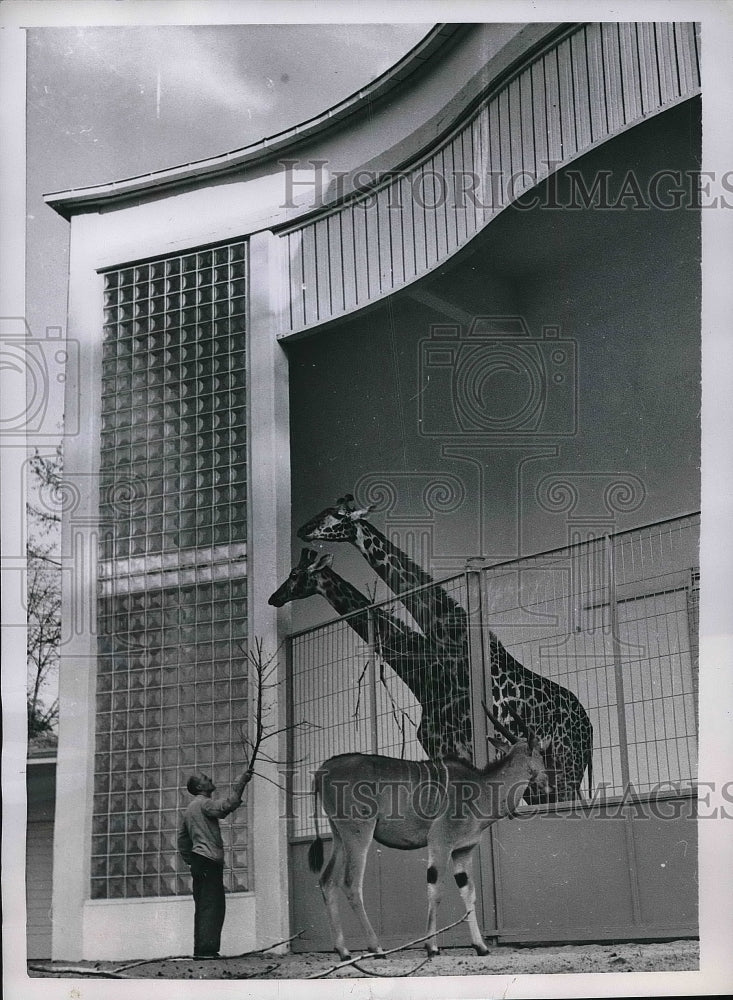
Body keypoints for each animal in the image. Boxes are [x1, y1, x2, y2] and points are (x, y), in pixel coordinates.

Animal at [298, 494, 596, 804]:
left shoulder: (474, 742)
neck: (451, 644)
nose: (303, 530)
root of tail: (590, 727)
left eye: (338, 515)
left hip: (565, 765)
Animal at [306, 704, 548, 960]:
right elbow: (436, 890)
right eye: (540, 753)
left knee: (327, 880)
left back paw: (343, 951)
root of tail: (322, 771)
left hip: (339, 836)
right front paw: (431, 946)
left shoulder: (462, 850)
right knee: (350, 883)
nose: (546, 780)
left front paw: (480, 946)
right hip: (358, 833)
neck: (482, 790)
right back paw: (376, 948)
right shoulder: (440, 842)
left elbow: (468, 893)